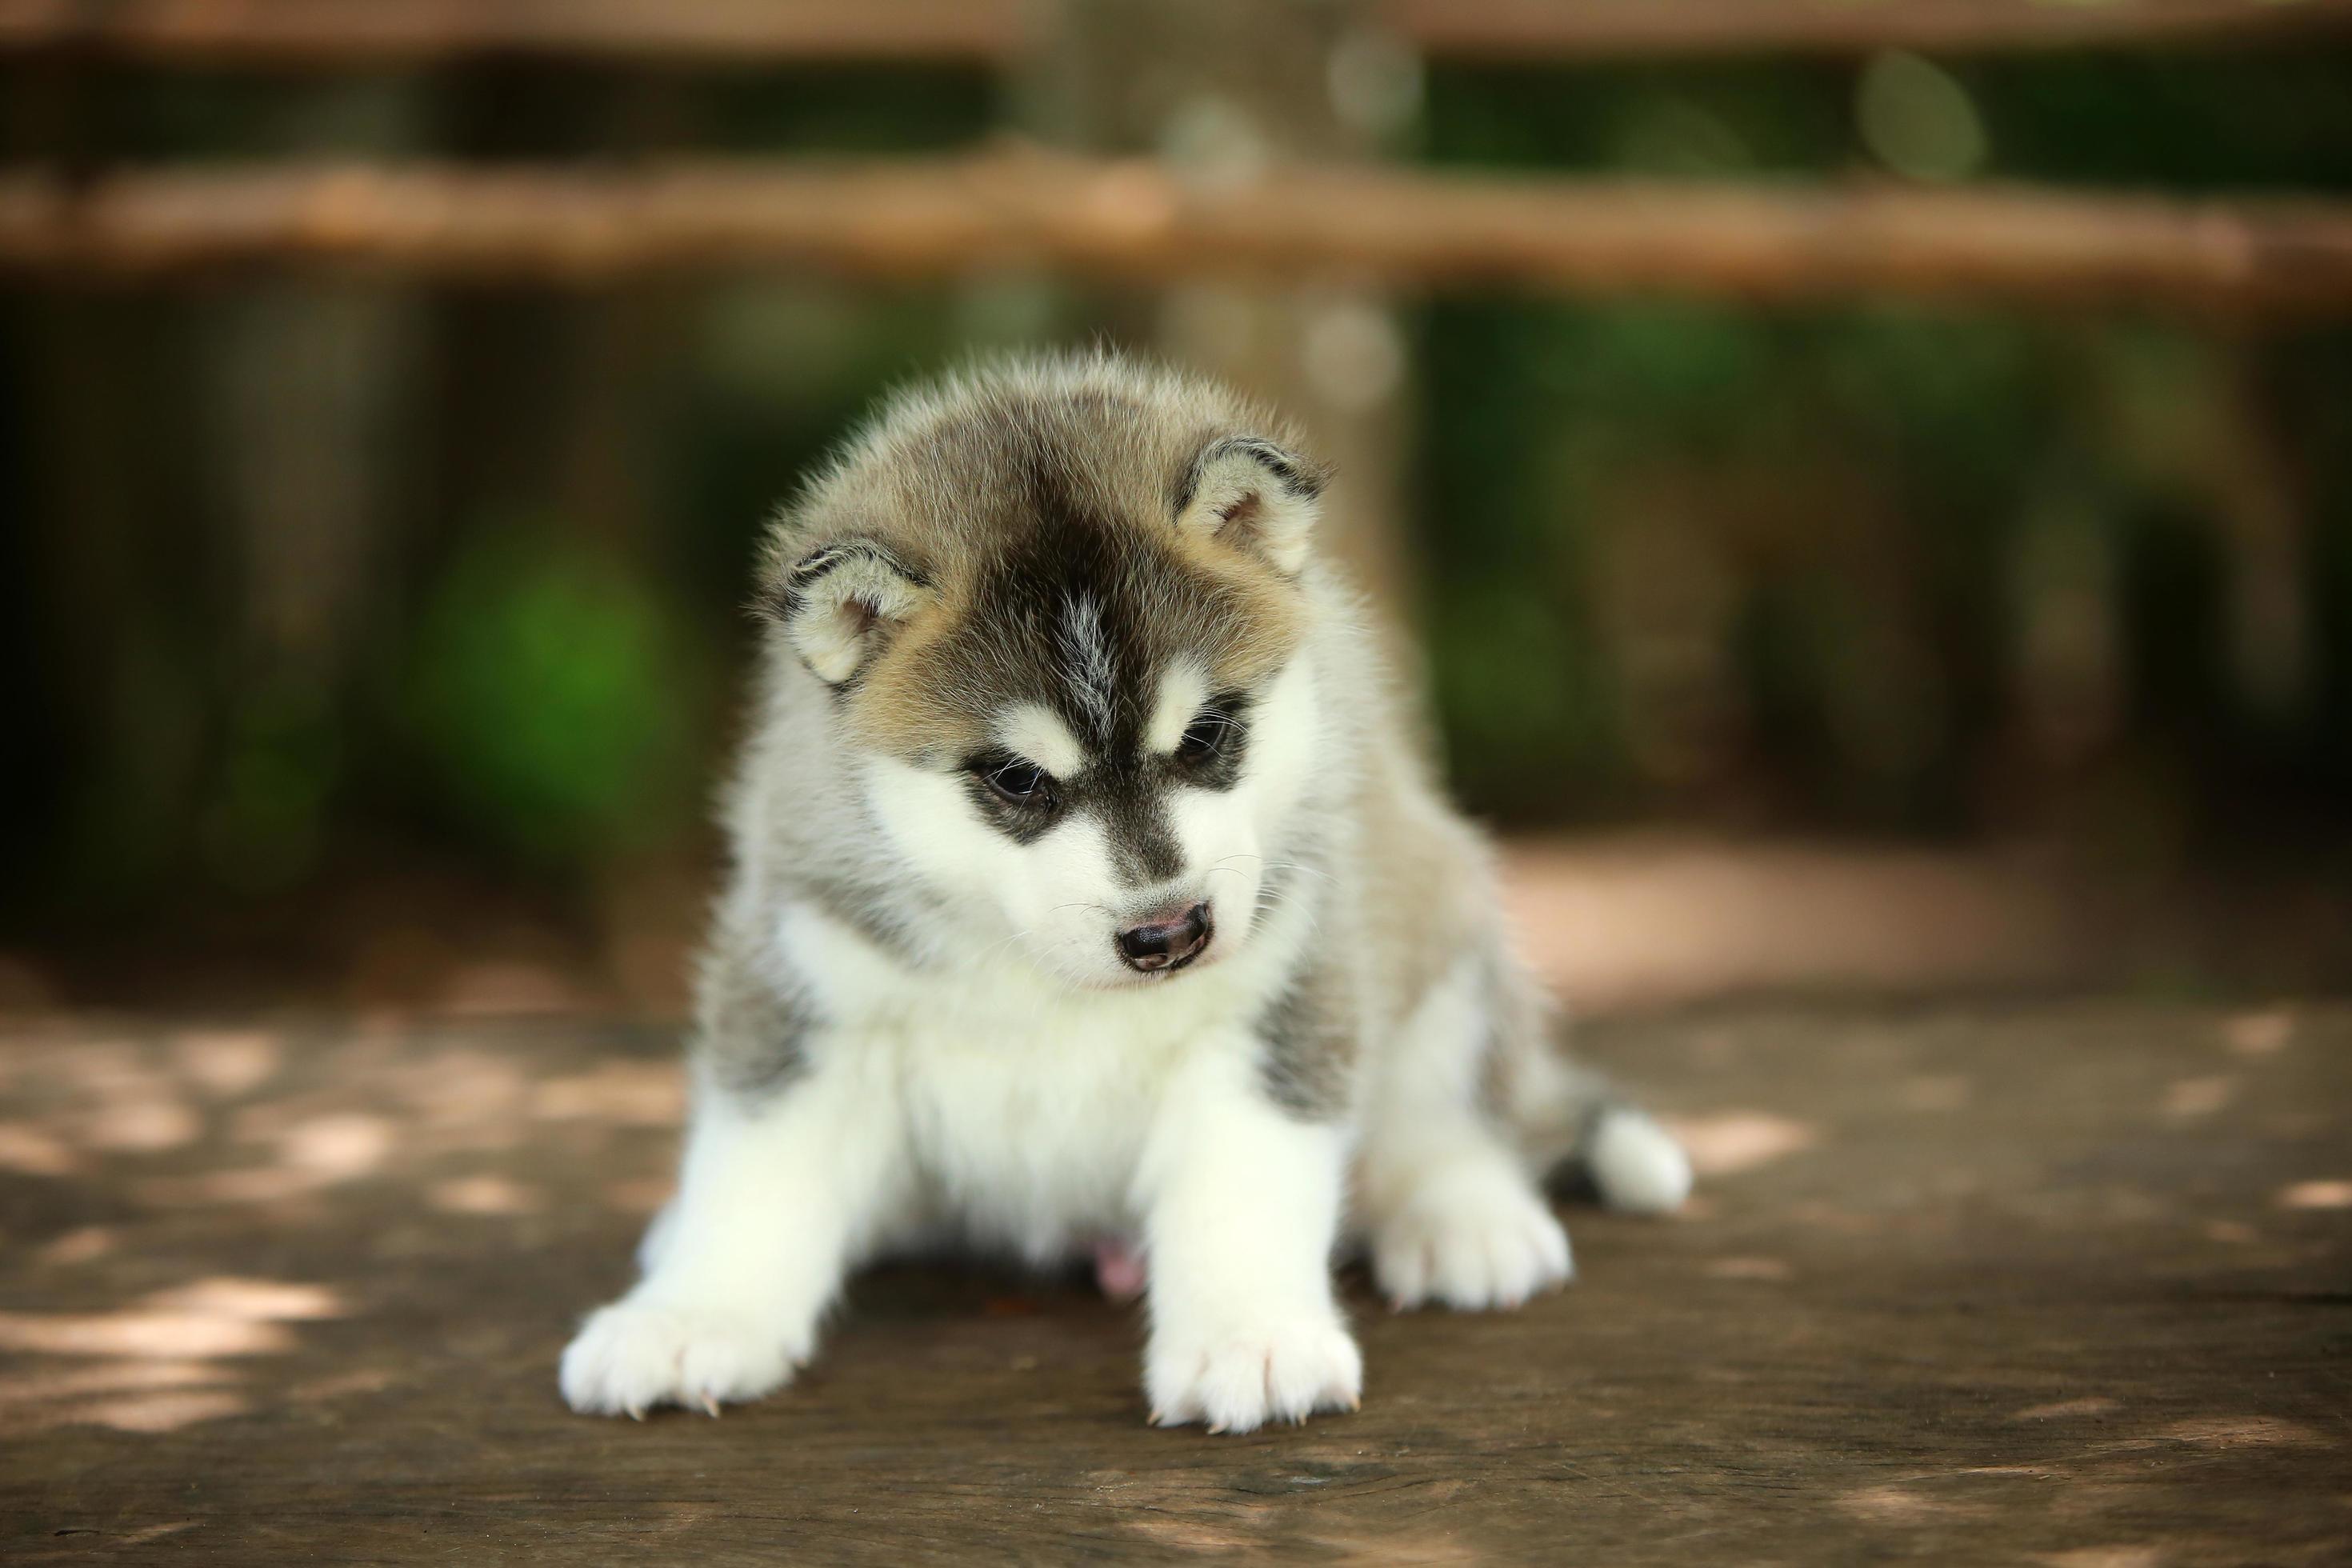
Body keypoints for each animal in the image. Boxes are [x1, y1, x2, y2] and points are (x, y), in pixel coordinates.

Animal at [557, 352, 1684, 1438]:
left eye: (1207, 733)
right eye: (1016, 778)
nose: (1169, 932)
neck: (1035, 968)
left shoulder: (1283, 990)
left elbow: (1245, 1177)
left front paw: (1250, 1338)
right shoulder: (804, 978)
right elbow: (757, 1170)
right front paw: (690, 1316)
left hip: (1439, 914)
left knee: (1450, 1103)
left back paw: (1464, 1215)